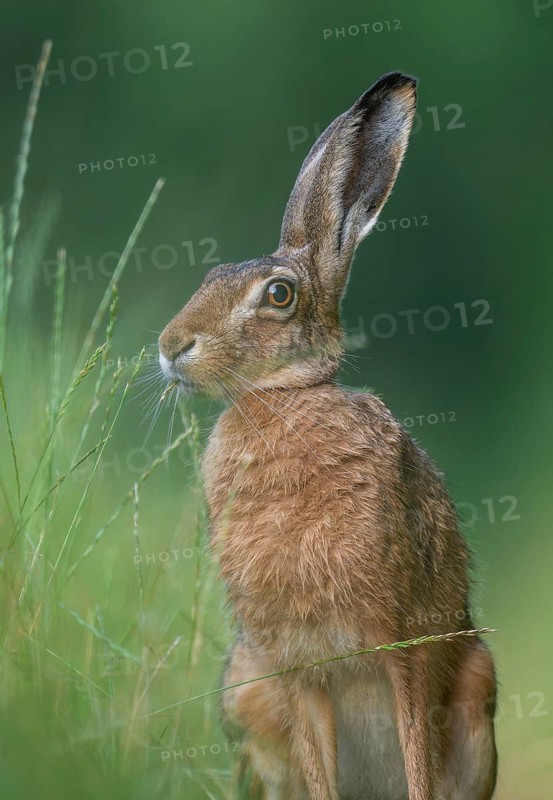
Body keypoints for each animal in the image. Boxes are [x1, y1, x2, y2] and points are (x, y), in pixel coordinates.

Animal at [158, 72, 498, 800]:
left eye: (279, 295)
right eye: (209, 277)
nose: (172, 347)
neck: (282, 400)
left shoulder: (402, 646)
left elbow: (416, 755)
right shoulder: (296, 669)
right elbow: (319, 772)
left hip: (475, 684)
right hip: (248, 689)